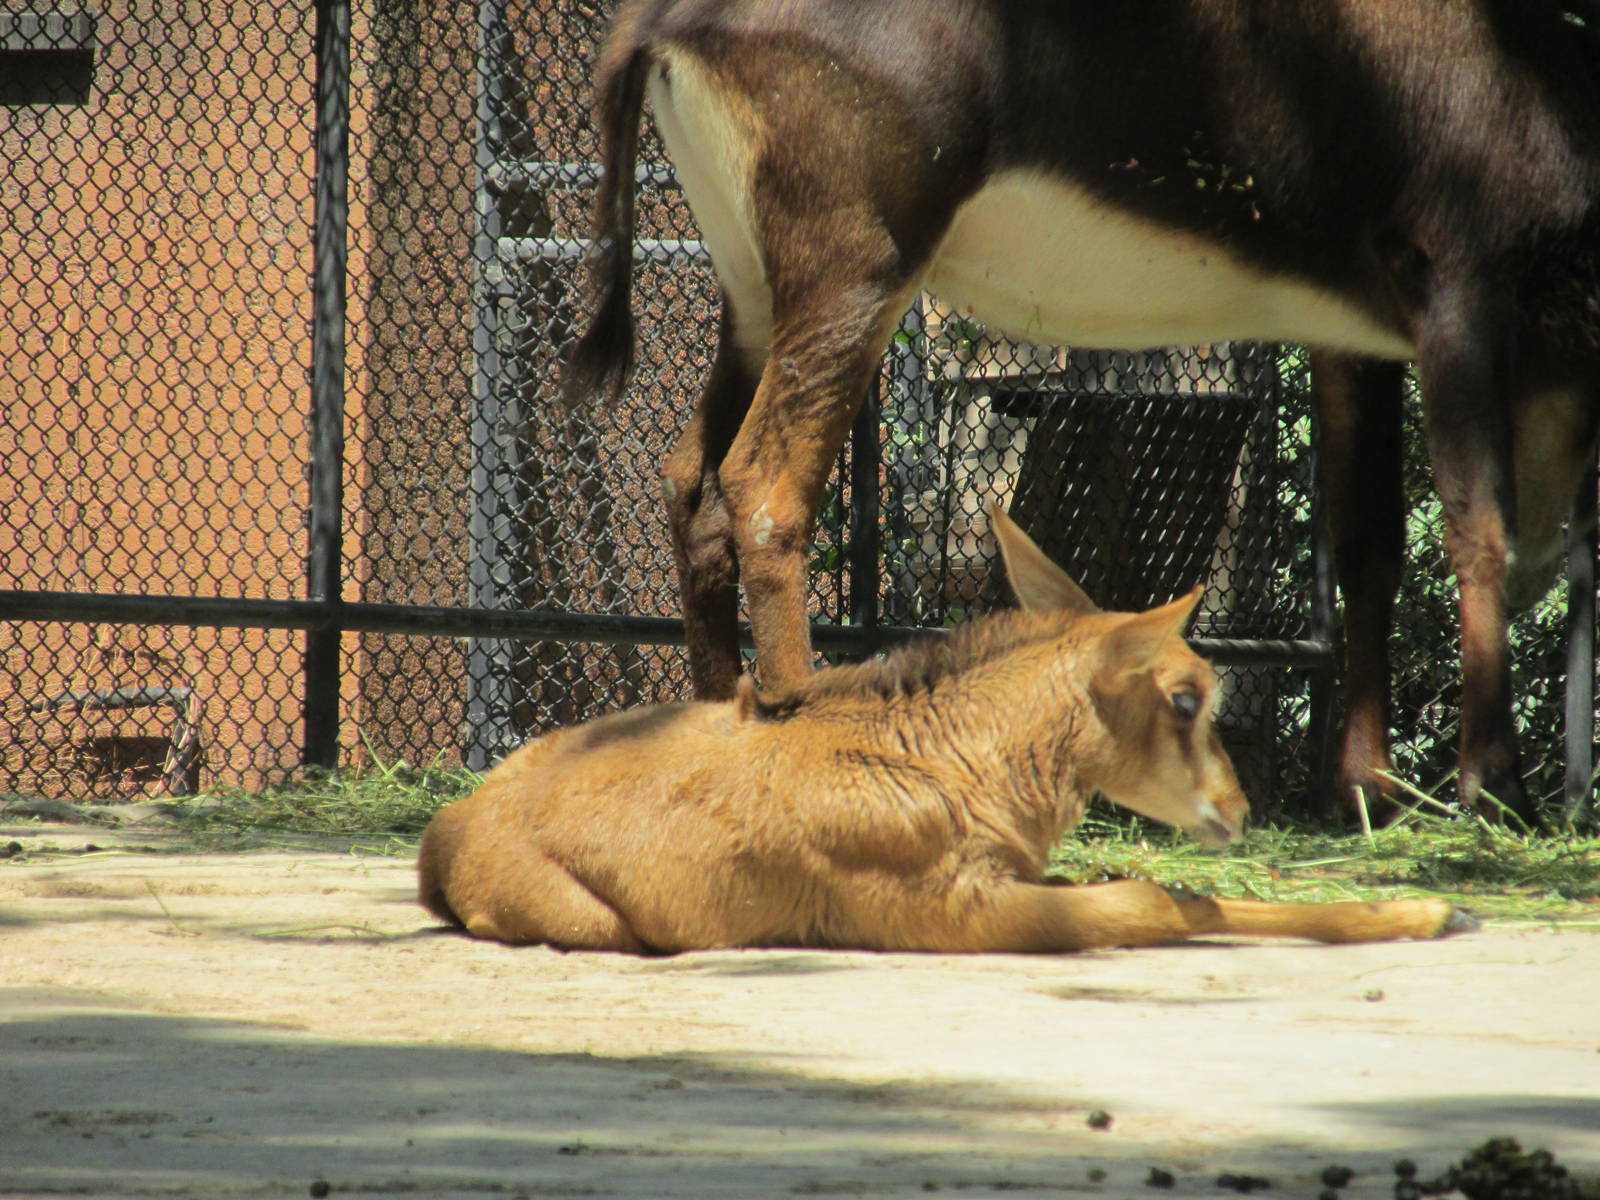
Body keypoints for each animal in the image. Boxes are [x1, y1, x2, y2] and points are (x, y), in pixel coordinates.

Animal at [419, 511, 1474, 952]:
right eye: (1186, 697)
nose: (1236, 807)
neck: (951, 761)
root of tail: (452, 833)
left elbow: (1180, 892)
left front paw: (1429, 913)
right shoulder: (957, 910)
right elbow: (1161, 902)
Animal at [564, 0, 1600, 824]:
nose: (1556, 565)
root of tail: (668, 21)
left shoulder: (1357, 340)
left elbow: (1368, 549)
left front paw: (1365, 794)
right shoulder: (1459, 294)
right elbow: (1479, 531)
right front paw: (1494, 791)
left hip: (751, 295)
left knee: (691, 485)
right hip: (854, 276)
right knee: (766, 489)